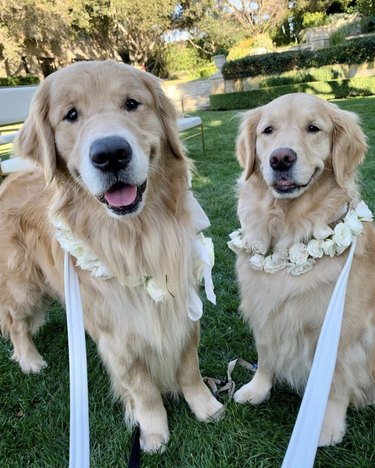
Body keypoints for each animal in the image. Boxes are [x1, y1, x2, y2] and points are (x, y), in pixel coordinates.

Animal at [0, 60, 223, 452]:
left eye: (132, 104)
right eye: (71, 115)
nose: (110, 154)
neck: (136, 236)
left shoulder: (183, 307)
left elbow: (188, 366)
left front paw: (205, 406)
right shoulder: (117, 333)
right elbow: (143, 388)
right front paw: (152, 431)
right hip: (21, 284)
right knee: (15, 322)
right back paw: (30, 359)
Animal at [232, 92, 375, 446]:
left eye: (314, 128)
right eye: (268, 130)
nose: (280, 158)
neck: (288, 230)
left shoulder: (342, 332)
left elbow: (335, 381)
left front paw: (327, 425)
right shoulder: (265, 312)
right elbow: (265, 355)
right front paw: (257, 389)